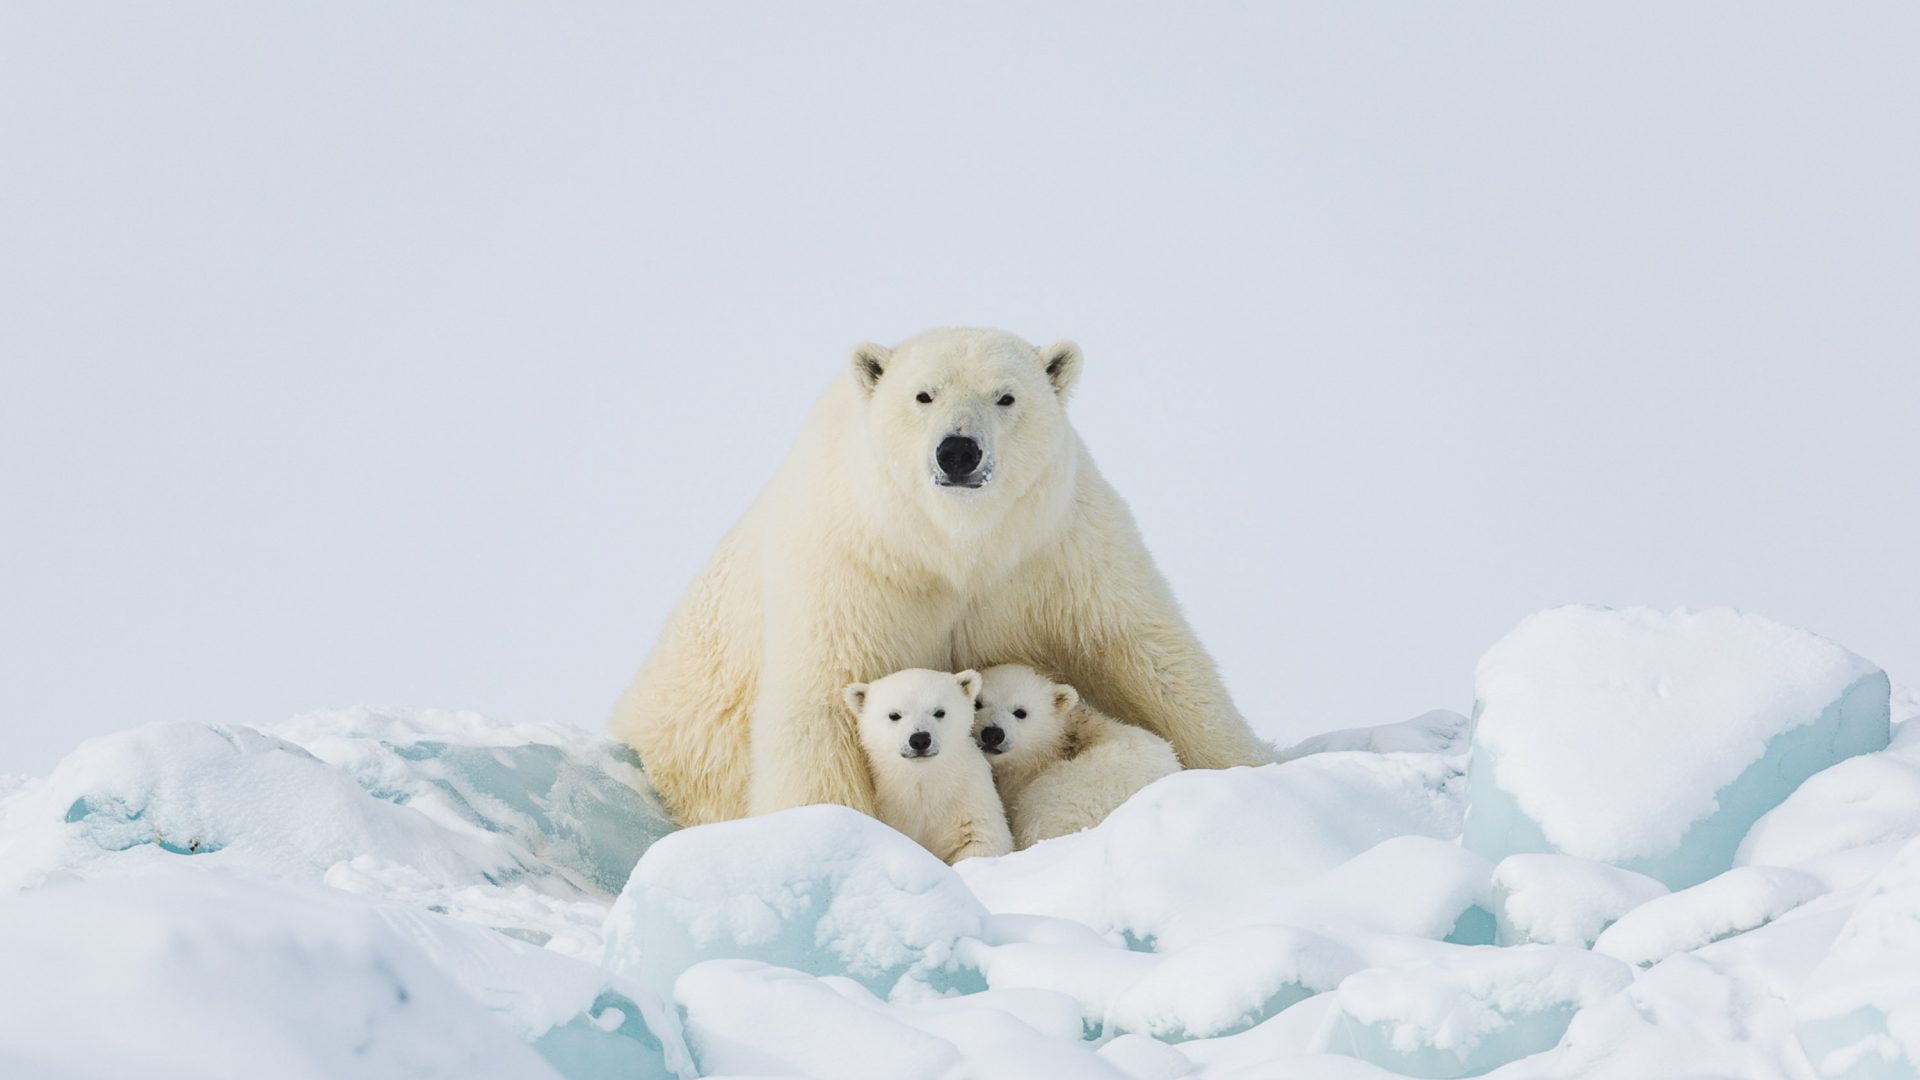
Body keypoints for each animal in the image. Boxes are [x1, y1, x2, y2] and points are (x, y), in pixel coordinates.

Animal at [614, 322, 1274, 818]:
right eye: (923, 395)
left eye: (1005, 396)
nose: (958, 451)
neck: (953, 546)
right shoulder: (855, 568)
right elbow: (822, 706)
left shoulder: (1058, 551)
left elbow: (1150, 659)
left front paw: (1250, 770)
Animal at [844, 664, 1013, 857]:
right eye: (894, 715)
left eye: (939, 712)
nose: (920, 739)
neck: (924, 780)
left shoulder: (969, 796)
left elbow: (980, 837)